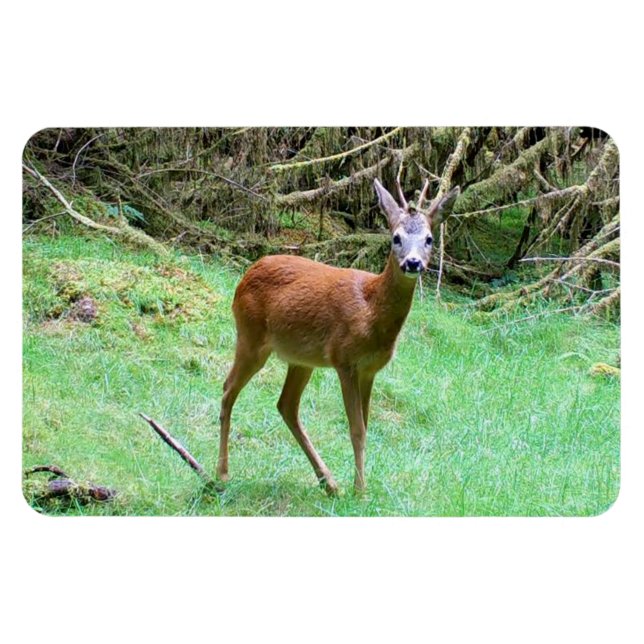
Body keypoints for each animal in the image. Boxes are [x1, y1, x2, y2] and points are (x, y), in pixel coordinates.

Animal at [217, 173, 460, 496]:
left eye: (429, 239)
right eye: (396, 237)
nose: (412, 262)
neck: (371, 312)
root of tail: (246, 275)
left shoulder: (369, 370)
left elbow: (366, 425)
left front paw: (356, 487)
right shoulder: (344, 360)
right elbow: (356, 429)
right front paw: (361, 491)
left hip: (301, 359)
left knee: (286, 405)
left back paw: (328, 482)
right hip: (250, 336)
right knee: (228, 389)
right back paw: (222, 474)